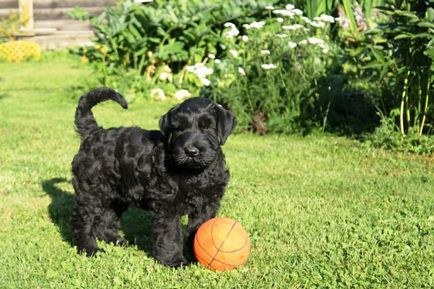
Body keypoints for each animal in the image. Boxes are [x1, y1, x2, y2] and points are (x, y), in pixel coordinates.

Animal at [71, 87, 236, 266]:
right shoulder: (166, 203)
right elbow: (171, 233)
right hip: (91, 190)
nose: (191, 151)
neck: (194, 172)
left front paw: (195, 256)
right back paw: (89, 249)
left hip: (117, 194)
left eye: (207, 126)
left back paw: (118, 241)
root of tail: (94, 132)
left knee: (106, 219)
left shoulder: (207, 203)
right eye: (179, 128)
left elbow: (198, 229)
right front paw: (174, 261)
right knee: (83, 220)